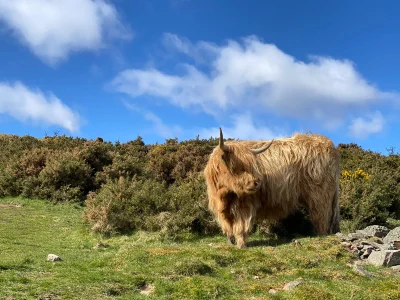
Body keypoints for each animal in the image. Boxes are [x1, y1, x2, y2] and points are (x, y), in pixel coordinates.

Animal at [205, 129, 340, 248]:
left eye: (252, 165)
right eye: (235, 166)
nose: (256, 183)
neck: (223, 195)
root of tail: (327, 143)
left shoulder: (245, 205)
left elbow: (240, 225)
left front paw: (241, 244)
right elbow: (227, 225)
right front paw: (230, 241)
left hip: (320, 196)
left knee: (322, 218)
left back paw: (322, 236)